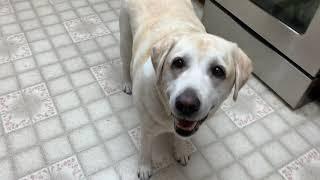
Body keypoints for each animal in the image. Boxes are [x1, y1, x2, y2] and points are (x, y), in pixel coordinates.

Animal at [119, 0, 252, 179]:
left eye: (218, 71)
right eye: (178, 62)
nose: (186, 104)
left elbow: (181, 138)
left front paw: (181, 150)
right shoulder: (146, 129)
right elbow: (145, 150)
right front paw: (145, 167)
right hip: (125, 39)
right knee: (125, 62)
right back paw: (127, 82)